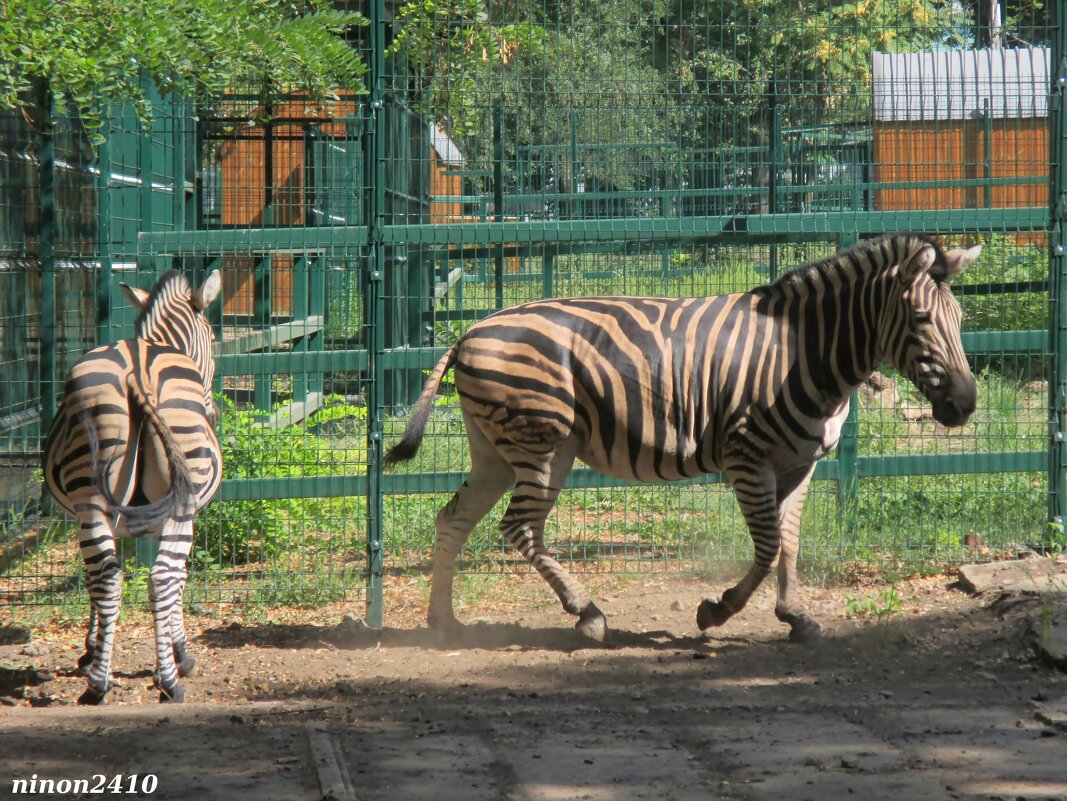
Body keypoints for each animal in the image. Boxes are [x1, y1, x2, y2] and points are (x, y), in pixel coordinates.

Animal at [43, 269, 223, 699]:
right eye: (214, 340)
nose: (213, 412)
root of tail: (137, 370)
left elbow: (98, 579)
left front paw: (93, 650)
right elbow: (176, 580)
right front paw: (177, 653)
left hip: (91, 498)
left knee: (108, 577)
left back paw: (98, 683)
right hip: (177, 503)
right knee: (162, 577)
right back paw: (169, 681)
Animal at [386, 233, 981, 644]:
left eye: (959, 317)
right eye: (921, 318)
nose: (966, 405)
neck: (802, 353)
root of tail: (469, 330)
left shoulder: (800, 463)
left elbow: (790, 544)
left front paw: (795, 616)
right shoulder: (746, 457)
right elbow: (768, 547)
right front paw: (717, 610)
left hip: (495, 450)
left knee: (453, 519)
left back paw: (443, 622)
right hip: (543, 444)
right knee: (520, 527)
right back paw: (587, 614)